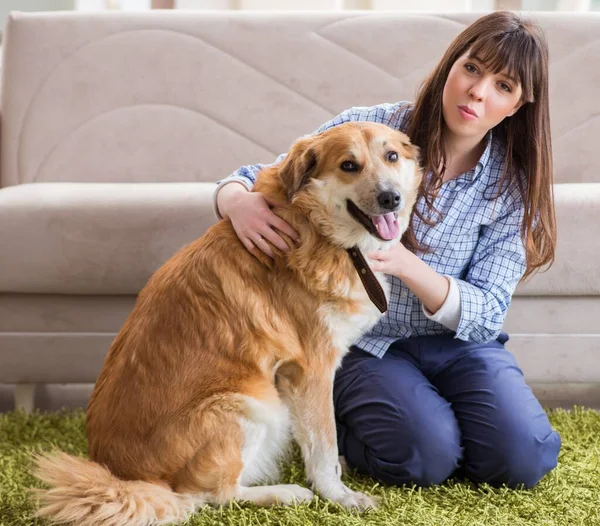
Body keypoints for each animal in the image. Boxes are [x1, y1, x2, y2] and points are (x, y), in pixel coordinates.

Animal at [31, 122, 422, 526]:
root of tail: (125, 477)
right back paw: (286, 493)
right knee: (207, 495)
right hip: (248, 404)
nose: (391, 198)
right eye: (348, 165)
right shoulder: (310, 370)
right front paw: (340, 496)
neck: (313, 225)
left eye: (391, 156)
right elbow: (323, 445)